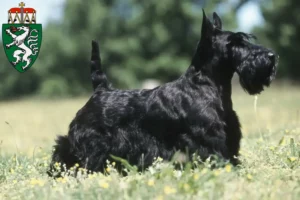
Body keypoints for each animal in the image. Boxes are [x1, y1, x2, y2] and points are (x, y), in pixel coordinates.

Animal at [48, 10, 276, 176]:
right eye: (234, 43)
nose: (271, 56)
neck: (205, 85)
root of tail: (100, 89)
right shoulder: (208, 142)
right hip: (86, 143)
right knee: (63, 151)